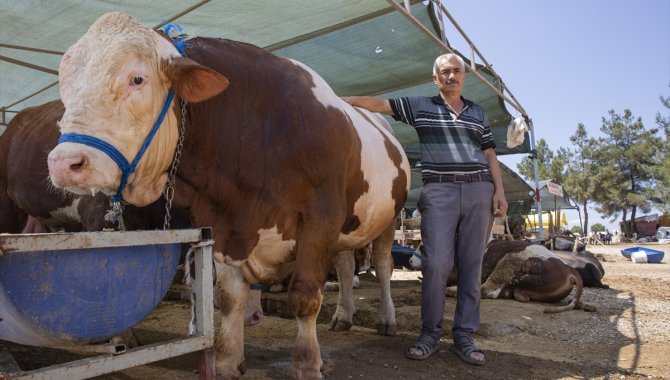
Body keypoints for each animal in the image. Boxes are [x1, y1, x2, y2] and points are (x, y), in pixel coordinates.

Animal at [46, 12, 410, 380]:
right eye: (66, 84)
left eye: (137, 78)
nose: (64, 163)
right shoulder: (221, 221)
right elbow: (229, 297)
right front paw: (226, 360)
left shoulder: (320, 217)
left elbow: (305, 295)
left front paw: (307, 364)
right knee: (347, 265)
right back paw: (343, 315)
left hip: (388, 219)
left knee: (383, 265)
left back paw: (386, 319)